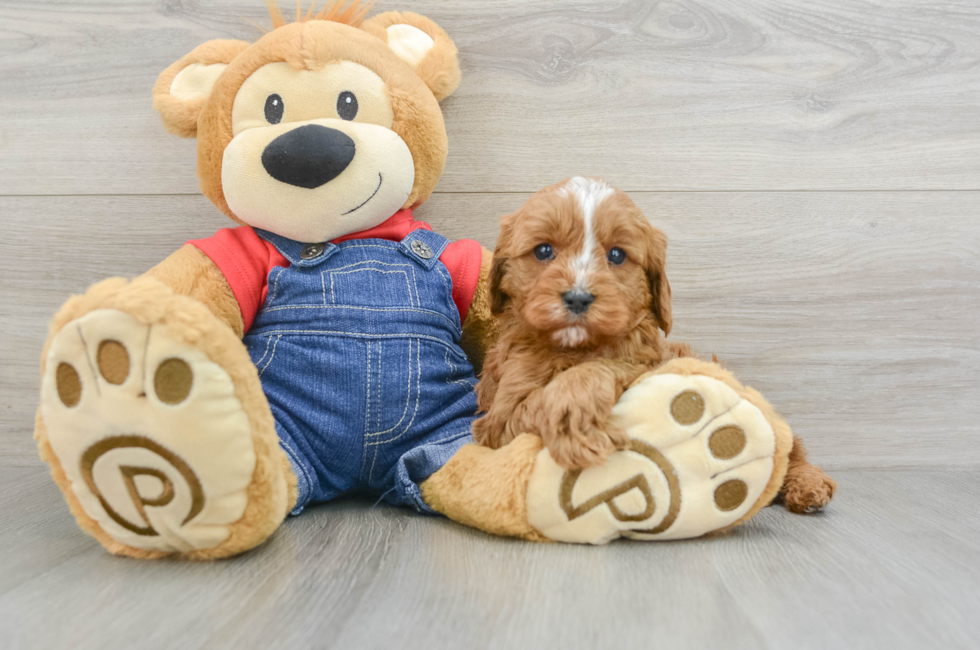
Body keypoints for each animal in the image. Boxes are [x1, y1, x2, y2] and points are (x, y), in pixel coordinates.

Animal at [472, 178, 836, 512]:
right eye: (544, 250)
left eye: (617, 255)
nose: (578, 297)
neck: (578, 348)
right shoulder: (501, 417)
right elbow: (534, 403)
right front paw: (577, 427)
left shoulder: (650, 362)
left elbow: (612, 366)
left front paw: (577, 410)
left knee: (789, 447)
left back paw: (808, 485)